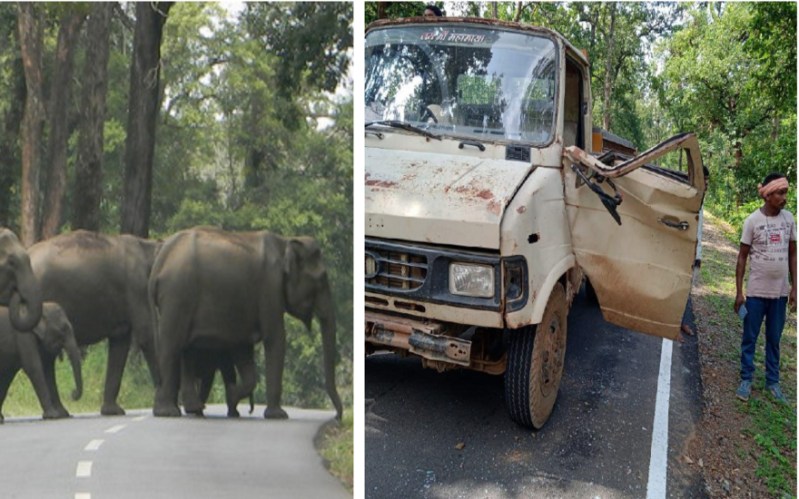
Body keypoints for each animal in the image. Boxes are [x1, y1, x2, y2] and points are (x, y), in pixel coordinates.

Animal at [28, 230, 160, 416]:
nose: (72, 394)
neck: (149, 245)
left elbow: (120, 343)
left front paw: (112, 411)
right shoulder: (137, 287)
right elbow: (146, 335)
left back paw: (61, 412)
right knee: (47, 356)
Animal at [150, 226, 343, 420]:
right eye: (322, 278)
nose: (337, 417)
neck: (285, 242)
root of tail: (160, 261)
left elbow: (243, 348)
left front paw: (232, 395)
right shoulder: (270, 288)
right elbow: (276, 339)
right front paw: (278, 415)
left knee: (186, 350)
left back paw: (190, 409)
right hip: (177, 294)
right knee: (171, 346)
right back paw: (169, 412)